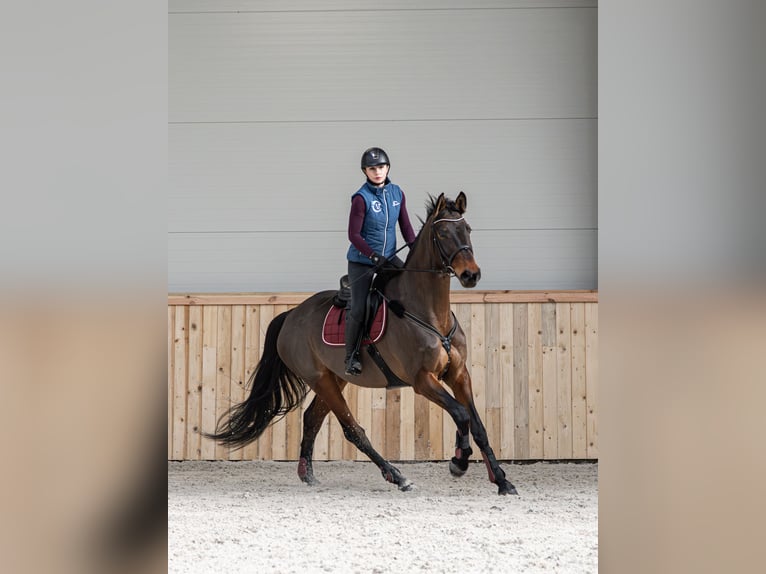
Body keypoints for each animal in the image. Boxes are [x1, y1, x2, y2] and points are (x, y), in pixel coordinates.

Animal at [206, 192, 517, 495]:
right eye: (442, 233)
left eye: (467, 229)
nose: (470, 275)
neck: (430, 313)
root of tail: (291, 315)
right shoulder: (422, 380)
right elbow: (461, 414)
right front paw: (458, 462)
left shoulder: (459, 374)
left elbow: (477, 425)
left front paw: (502, 481)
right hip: (320, 379)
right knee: (353, 430)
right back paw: (397, 476)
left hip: (335, 379)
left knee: (312, 418)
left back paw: (307, 474)